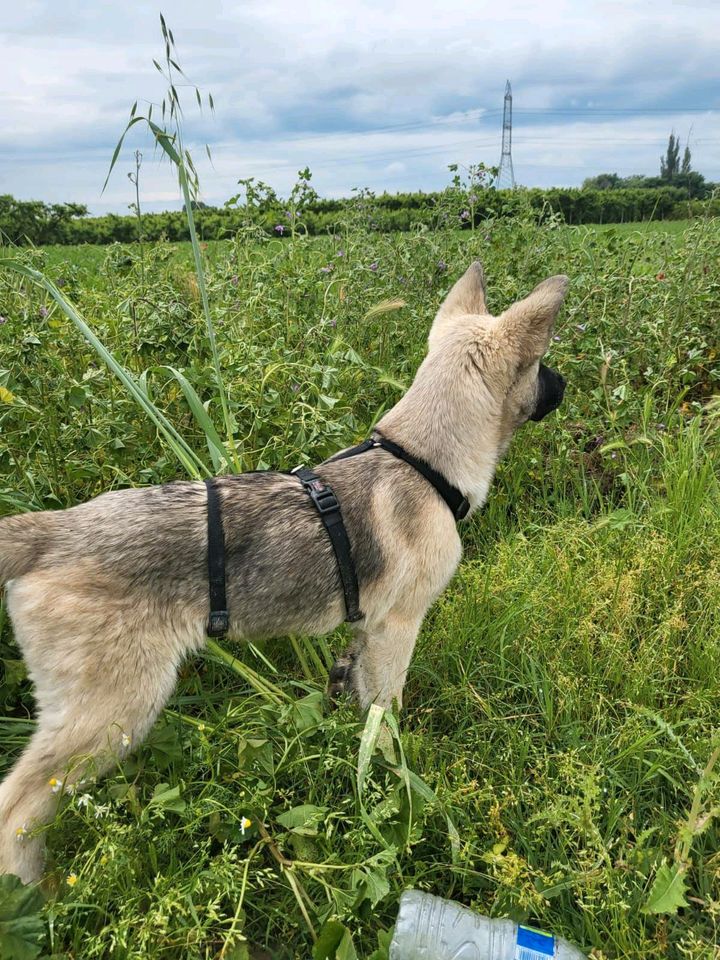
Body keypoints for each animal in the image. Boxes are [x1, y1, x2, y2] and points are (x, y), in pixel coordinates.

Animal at [0, 258, 568, 880]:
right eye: (540, 363)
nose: (565, 385)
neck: (419, 461)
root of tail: (51, 532)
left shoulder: (366, 635)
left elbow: (362, 706)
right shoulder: (397, 629)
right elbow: (387, 718)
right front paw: (398, 777)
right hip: (113, 712)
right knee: (16, 805)